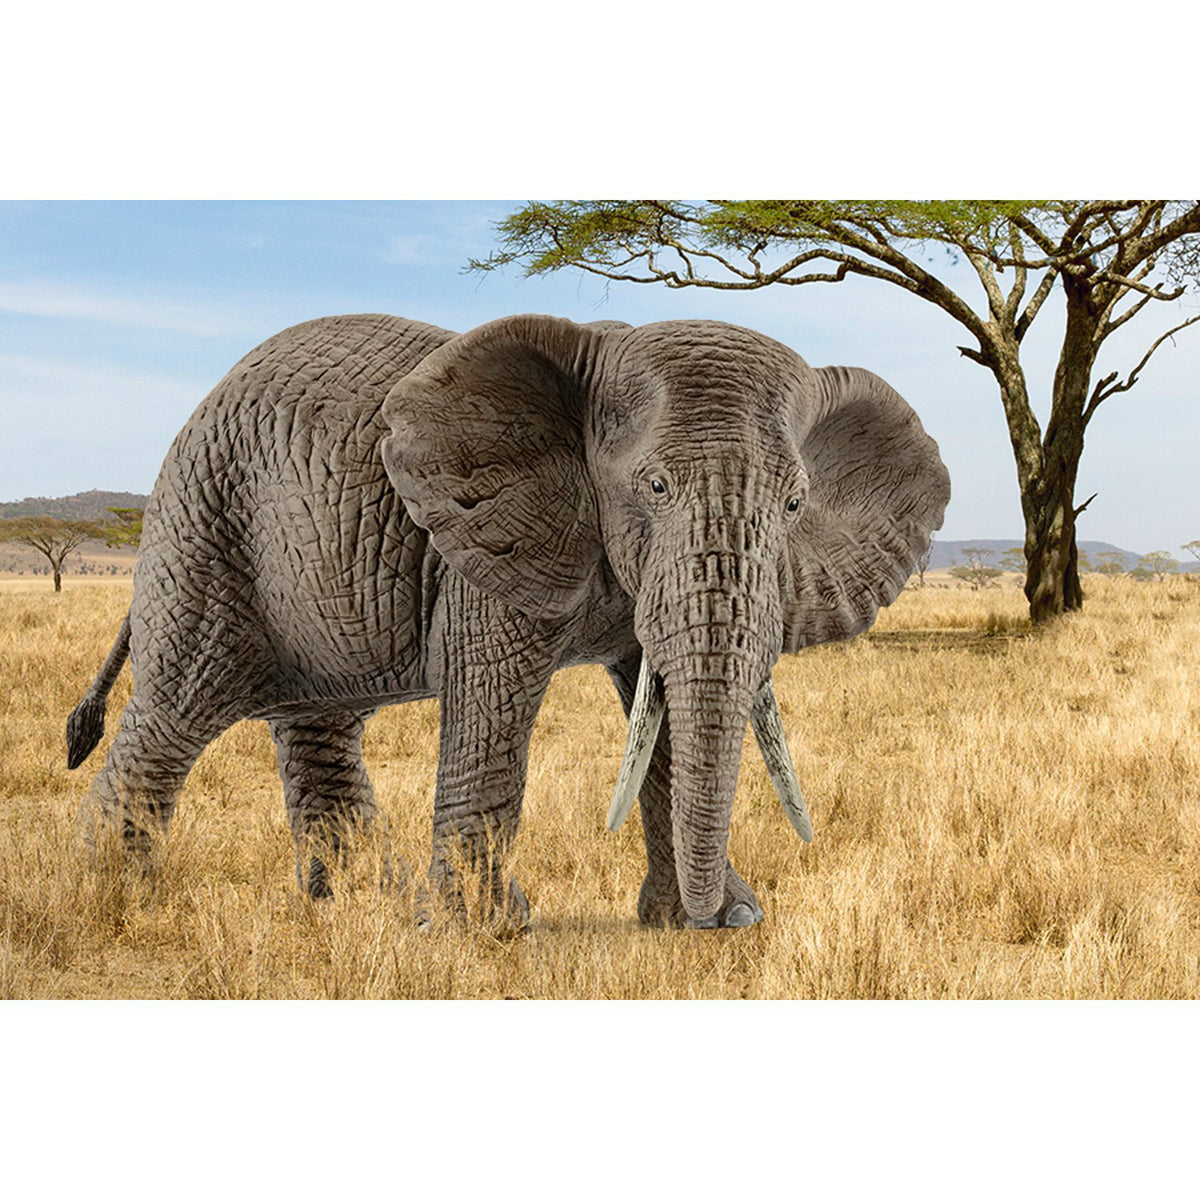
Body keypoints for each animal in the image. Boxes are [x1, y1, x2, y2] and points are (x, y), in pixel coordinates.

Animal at [67, 311, 949, 930]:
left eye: (795, 505)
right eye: (655, 487)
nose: (725, 916)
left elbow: (657, 707)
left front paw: (713, 922)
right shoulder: (485, 539)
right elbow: (493, 702)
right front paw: (482, 933)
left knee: (318, 726)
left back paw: (357, 907)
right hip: (207, 526)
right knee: (175, 713)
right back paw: (120, 904)